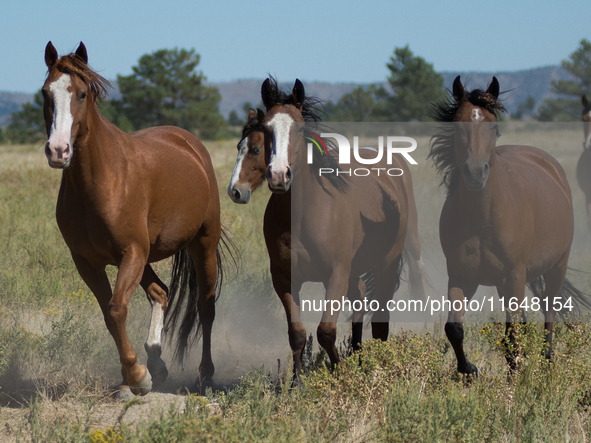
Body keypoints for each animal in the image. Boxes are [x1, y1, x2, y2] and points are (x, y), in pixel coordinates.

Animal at [41, 40, 227, 396]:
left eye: (81, 93)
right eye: (45, 93)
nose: (58, 150)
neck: (99, 182)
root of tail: (189, 143)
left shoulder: (132, 252)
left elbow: (116, 310)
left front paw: (137, 377)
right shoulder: (88, 262)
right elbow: (109, 312)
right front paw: (138, 373)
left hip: (202, 243)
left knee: (206, 306)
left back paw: (206, 374)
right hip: (145, 257)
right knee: (160, 292)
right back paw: (157, 361)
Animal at [229, 80, 424, 374]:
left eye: (254, 148)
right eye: (267, 129)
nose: (278, 175)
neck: (302, 215)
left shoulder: (336, 275)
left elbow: (325, 332)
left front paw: (340, 372)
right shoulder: (284, 278)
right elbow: (297, 333)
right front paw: (296, 380)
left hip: (387, 264)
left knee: (380, 320)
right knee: (360, 299)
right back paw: (358, 353)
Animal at [430, 76, 588, 374]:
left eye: (493, 127)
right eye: (458, 125)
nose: (475, 172)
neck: (482, 219)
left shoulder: (515, 274)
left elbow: (512, 338)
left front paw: (516, 381)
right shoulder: (461, 275)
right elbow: (454, 328)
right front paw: (468, 371)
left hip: (555, 267)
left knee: (549, 311)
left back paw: (547, 359)